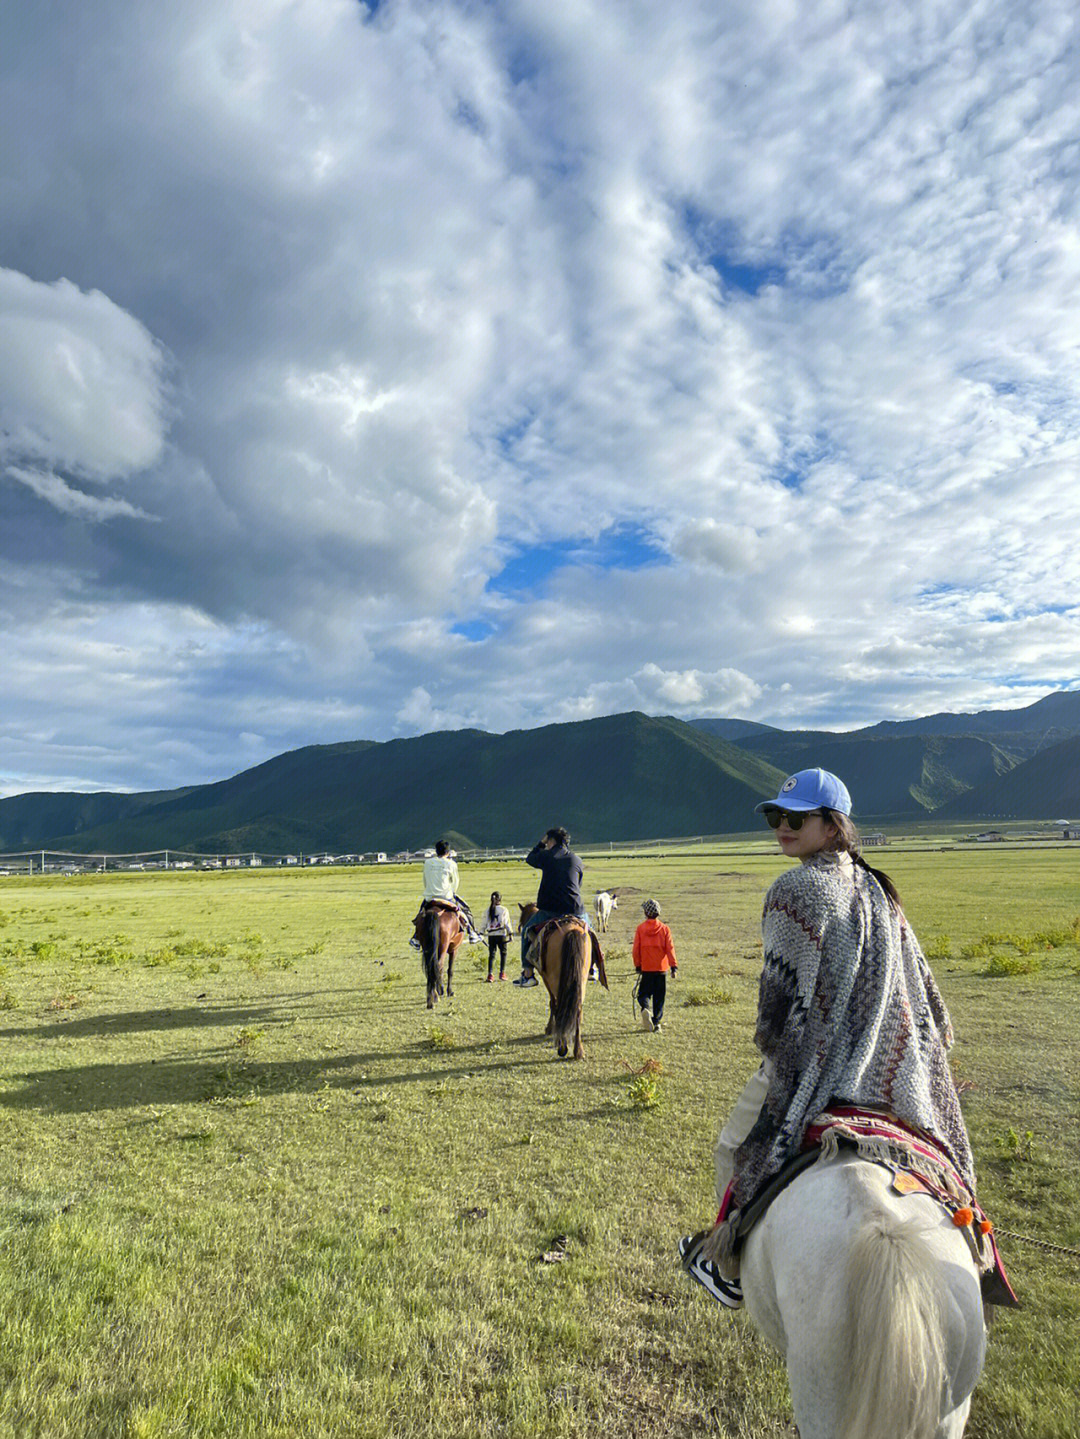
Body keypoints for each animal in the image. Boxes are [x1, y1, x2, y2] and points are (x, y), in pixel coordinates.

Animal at [529, 920, 609, 1059]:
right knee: (577, 1009)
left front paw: (549, 1029)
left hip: (556, 980)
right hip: (581, 980)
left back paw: (562, 1047)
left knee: (561, 1007)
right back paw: (578, 1050)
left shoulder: (546, 978)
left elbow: (552, 1003)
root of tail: (572, 930)